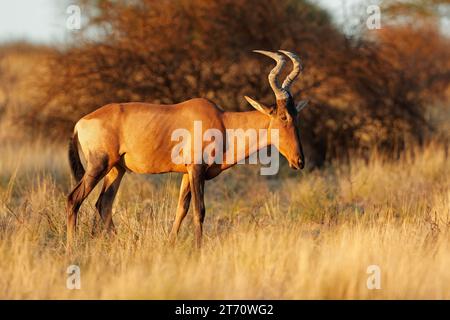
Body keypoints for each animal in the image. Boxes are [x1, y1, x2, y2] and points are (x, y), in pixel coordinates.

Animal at [66, 50, 306, 249]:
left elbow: (181, 209)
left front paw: (170, 245)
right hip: (98, 166)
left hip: (117, 169)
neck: (222, 121)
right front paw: (198, 251)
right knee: (74, 199)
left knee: (103, 204)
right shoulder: (196, 169)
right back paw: (72, 249)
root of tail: (80, 122)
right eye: (283, 116)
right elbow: (199, 211)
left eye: (296, 115)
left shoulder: (186, 173)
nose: (299, 161)